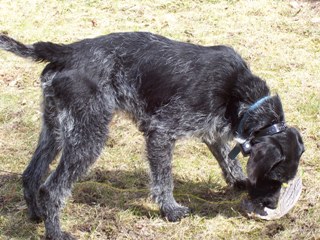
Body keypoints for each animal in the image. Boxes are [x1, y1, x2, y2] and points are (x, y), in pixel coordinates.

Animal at [0, 32, 304, 240]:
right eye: (276, 177)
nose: (270, 207)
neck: (239, 92)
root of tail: (66, 51)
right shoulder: (161, 132)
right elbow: (163, 180)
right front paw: (170, 210)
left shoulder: (212, 132)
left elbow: (228, 159)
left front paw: (238, 180)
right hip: (88, 138)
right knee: (52, 189)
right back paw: (56, 233)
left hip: (55, 131)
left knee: (31, 174)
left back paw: (36, 215)